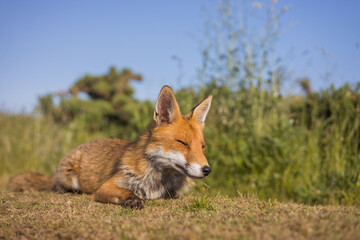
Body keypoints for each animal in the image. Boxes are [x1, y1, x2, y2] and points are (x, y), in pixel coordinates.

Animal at [8, 86, 212, 208]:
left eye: (202, 147)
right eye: (182, 143)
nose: (207, 170)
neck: (159, 179)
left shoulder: (171, 192)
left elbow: (174, 195)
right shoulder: (107, 186)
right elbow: (125, 192)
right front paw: (132, 199)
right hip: (70, 180)